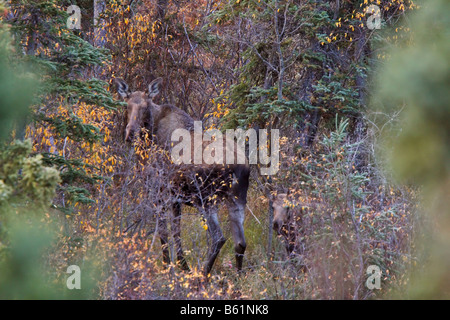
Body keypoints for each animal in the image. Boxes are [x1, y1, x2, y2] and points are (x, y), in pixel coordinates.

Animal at [113, 77, 250, 276]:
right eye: (127, 105)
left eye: (145, 107)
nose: (130, 134)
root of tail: (240, 166)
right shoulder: (175, 197)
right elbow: (176, 231)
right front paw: (181, 264)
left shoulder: (159, 191)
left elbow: (164, 230)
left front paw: (168, 265)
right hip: (237, 198)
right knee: (240, 242)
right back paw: (238, 278)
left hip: (205, 199)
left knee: (219, 237)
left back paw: (202, 274)